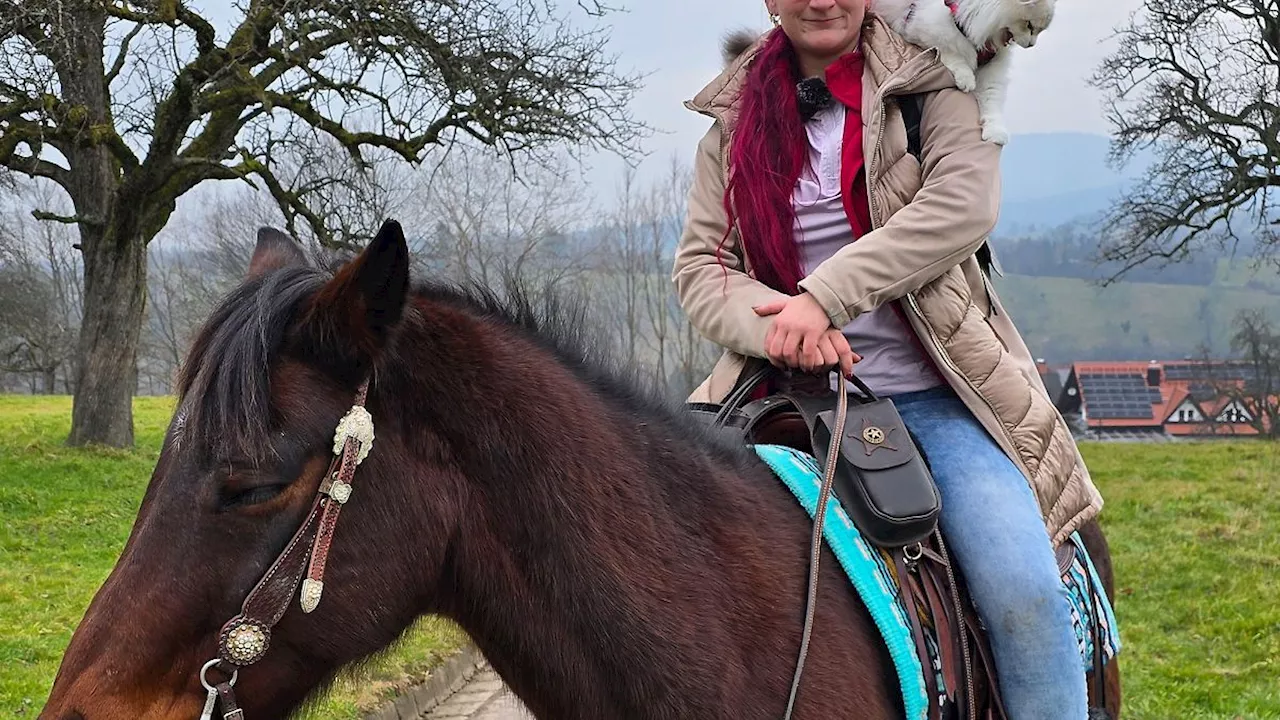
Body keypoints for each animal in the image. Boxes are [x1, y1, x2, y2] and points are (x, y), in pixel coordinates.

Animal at [875, 0, 1054, 144]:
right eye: (1029, 25)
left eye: (1038, 30)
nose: (1031, 45)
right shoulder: (920, 30)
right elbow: (950, 54)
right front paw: (965, 78)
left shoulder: (992, 68)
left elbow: (992, 100)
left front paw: (995, 131)